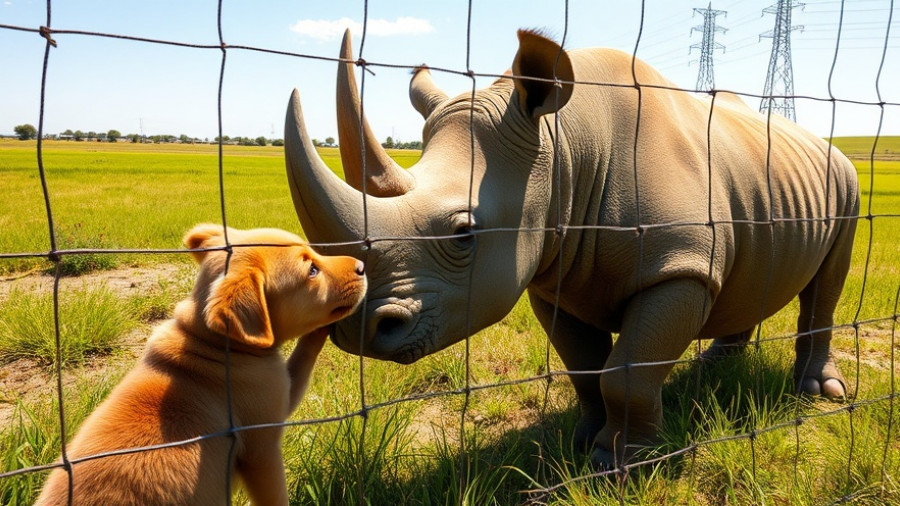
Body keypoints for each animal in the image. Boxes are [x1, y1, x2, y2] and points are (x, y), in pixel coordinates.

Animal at [283, 29, 859, 468]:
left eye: (463, 233)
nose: (356, 329)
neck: (565, 149)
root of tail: (821, 142)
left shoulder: (678, 266)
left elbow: (626, 370)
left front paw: (621, 464)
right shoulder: (551, 273)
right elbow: (584, 365)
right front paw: (582, 443)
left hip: (847, 181)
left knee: (827, 282)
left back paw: (820, 392)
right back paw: (716, 364)